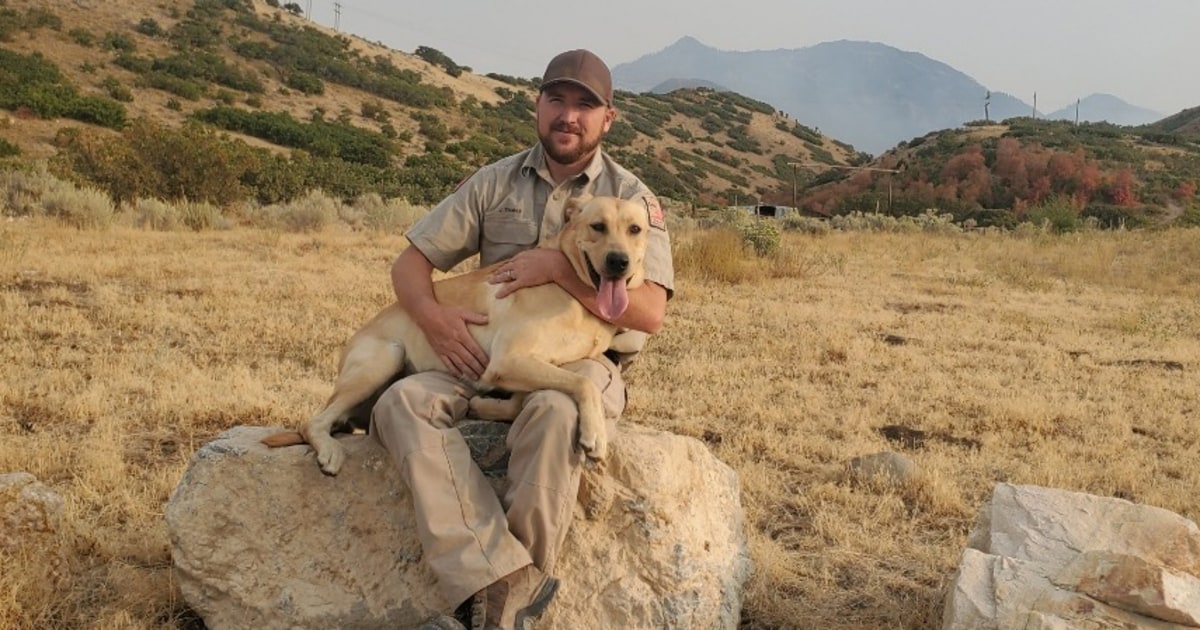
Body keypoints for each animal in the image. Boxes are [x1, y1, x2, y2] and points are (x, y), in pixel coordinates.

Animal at [260, 194, 648, 475]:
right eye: (597, 226)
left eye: (635, 229)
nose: (619, 262)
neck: (572, 290)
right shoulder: (508, 360)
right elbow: (583, 384)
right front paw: (594, 435)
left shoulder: (531, 365)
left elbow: (533, 396)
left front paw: (485, 405)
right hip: (384, 359)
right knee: (313, 421)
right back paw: (329, 452)